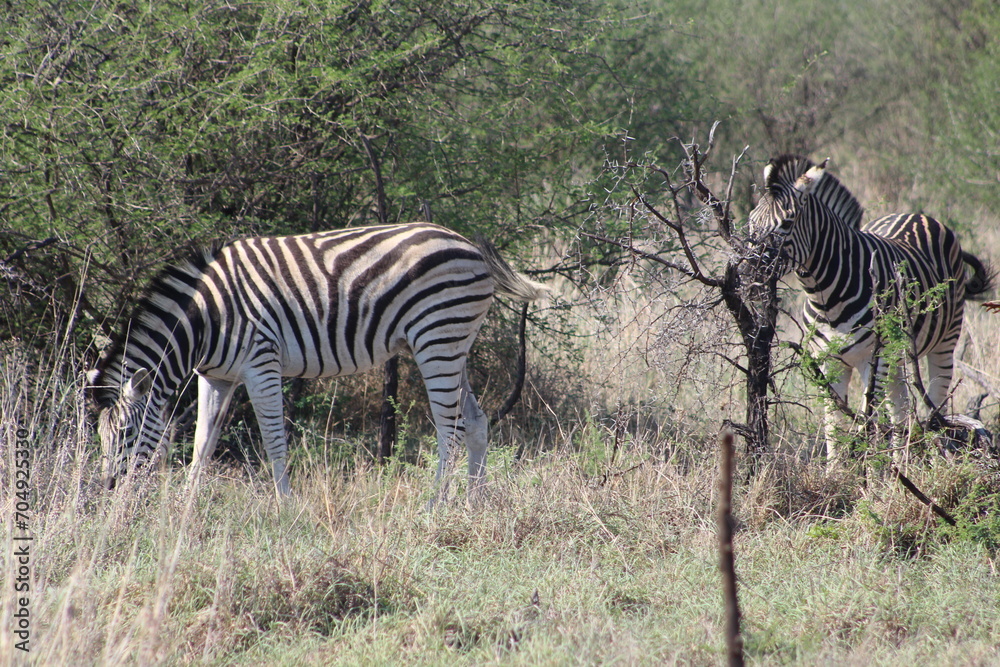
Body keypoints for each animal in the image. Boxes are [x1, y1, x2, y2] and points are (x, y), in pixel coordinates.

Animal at [88, 222, 548, 496]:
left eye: (126, 432)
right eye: (100, 437)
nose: (108, 486)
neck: (205, 320)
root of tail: (470, 246)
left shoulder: (262, 363)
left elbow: (274, 440)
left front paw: (285, 506)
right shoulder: (216, 376)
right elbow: (203, 443)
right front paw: (187, 508)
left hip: (436, 339)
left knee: (449, 431)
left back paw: (435, 507)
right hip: (454, 344)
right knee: (475, 422)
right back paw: (472, 504)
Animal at [747, 154, 991, 462]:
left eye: (787, 222)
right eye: (751, 222)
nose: (748, 274)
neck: (826, 294)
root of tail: (917, 215)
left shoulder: (872, 361)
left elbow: (868, 426)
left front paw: (870, 472)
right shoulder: (829, 362)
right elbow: (833, 428)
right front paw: (836, 472)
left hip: (943, 341)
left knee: (936, 405)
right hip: (896, 355)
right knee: (900, 409)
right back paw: (900, 462)